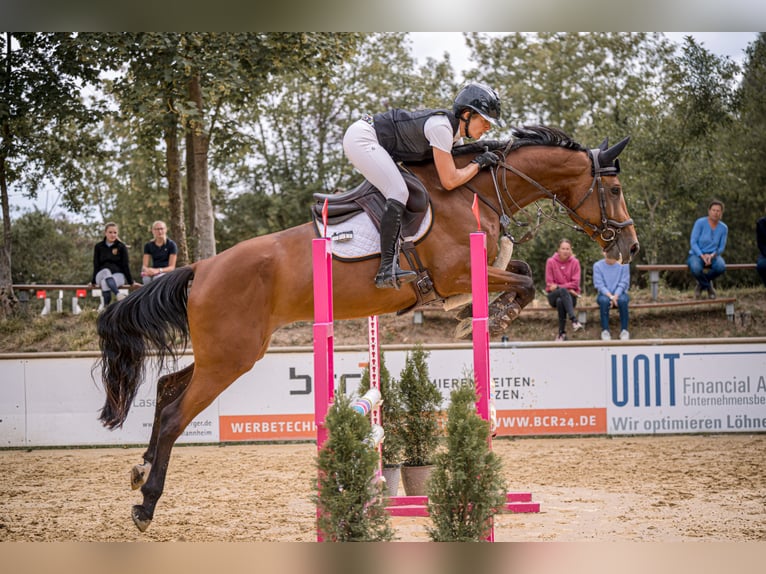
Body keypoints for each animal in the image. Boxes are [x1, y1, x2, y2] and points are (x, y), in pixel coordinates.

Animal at [97, 125, 639, 532]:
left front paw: (478, 315)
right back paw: (146, 505)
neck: (474, 191)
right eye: (613, 190)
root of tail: (200, 269)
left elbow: (522, 274)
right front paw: (489, 317)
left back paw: (140, 469)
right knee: (174, 415)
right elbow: (524, 281)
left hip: (225, 354)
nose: (629, 248)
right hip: (232, 357)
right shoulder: (456, 275)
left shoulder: (473, 275)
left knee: (167, 388)